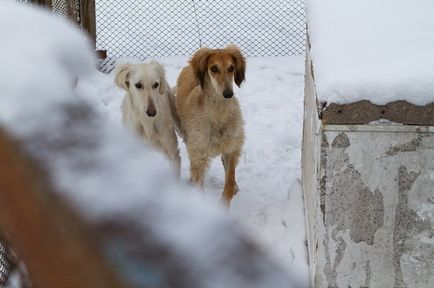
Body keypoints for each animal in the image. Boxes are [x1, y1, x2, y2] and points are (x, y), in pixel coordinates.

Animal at [175, 45, 246, 206]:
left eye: (232, 68)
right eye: (214, 68)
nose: (228, 94)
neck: (217, 114)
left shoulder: (231, 149)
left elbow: (229, 183)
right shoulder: (199, 155)